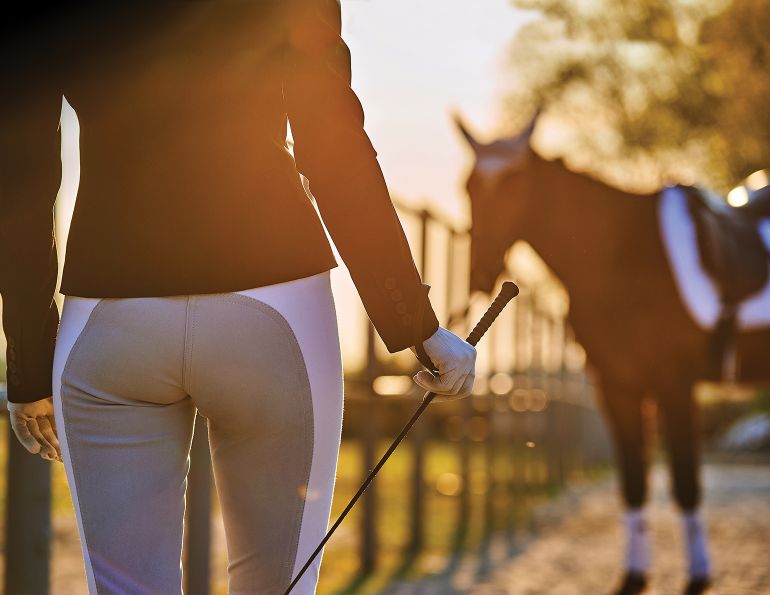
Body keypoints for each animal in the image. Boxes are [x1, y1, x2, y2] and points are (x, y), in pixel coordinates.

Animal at [455, 111, 770, 594]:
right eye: (468, 186)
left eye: (515, 184)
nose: (480, 273)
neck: (622, 254)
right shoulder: (617, 386)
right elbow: (634, 482)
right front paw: (634, 576)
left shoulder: (674, 383)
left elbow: (685, 482)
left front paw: (698, 577)